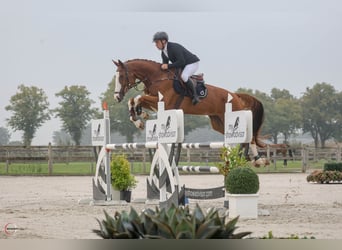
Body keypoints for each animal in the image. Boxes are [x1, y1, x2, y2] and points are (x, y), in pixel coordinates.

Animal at [113, 58, 268, 167]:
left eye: (121, 77)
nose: (117, 97)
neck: (157, 77)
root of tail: (235, 95)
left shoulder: (164, 102)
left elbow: (138, 97)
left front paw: (139, 118)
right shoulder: (156, 103)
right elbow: (133, 100)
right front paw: (139, 117)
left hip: (231, 116)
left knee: (249, 137)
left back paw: (258, 160)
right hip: (218, 123)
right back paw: (251, 159)